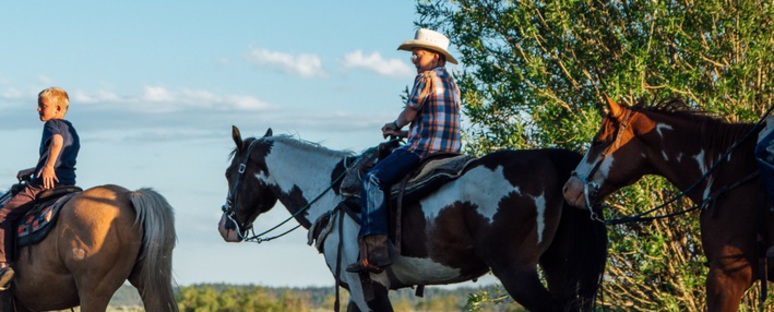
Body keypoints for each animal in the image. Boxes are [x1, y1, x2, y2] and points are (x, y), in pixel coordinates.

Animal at [220, 127, 612, 312]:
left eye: (229, 173)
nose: (226, 227)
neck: (332, 194)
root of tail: (550, 159)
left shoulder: (366, 288)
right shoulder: (357, 291)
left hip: (518, 273)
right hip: (559, 267)